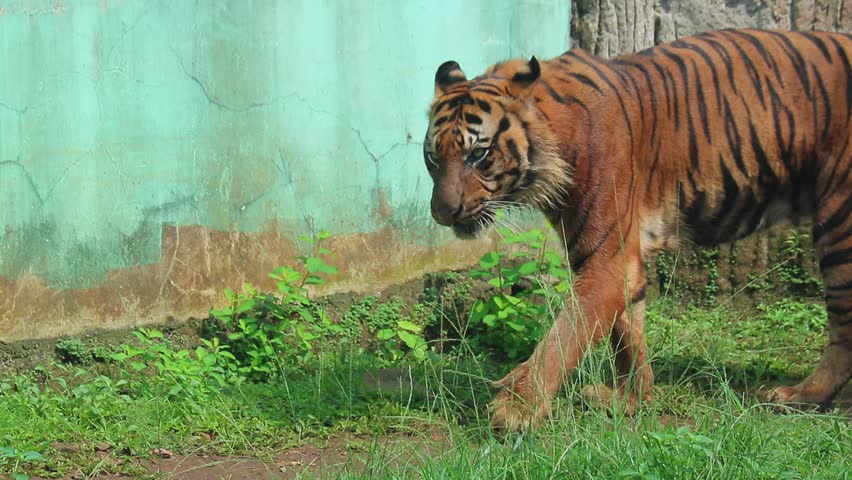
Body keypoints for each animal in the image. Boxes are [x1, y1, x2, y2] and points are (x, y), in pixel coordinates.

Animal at [422, 28, 852, 431]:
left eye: (478, 154)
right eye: (433, 157)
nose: (443, 212)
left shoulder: (607, 257)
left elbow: (566, 333)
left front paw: (518, 408)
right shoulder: (614, 257)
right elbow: (628, 332)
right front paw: (631, 399)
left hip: (840, 225)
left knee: (843, 330)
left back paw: (802, 395)